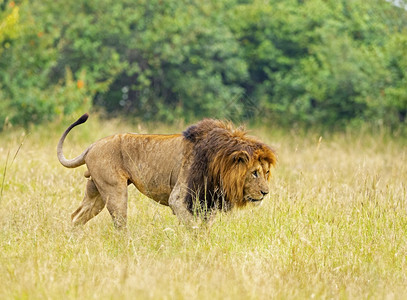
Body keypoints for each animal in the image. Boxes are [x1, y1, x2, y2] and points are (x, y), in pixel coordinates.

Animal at [57, 113, 278, 229]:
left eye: (266, 173)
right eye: (254, 173)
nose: (265, 192)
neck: (219, 165)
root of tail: (91, 146)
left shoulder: (207, 201)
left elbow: (204, 227)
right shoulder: (179, 198)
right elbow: (194, 227)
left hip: (96, 191)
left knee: (76, 217)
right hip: (114, 190)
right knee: (120, 224)